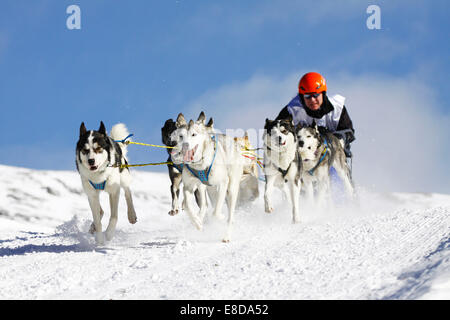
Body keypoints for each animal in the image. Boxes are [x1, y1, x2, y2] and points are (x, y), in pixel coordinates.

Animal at [177, 112, 246, 242]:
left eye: (193, 134)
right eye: (181, 136)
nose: (185, 145)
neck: (199, 164)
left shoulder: (223, 183)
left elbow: (216, 213)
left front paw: (220, 217)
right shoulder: (188, 186)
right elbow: (187, 206)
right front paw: (197, 222)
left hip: (231, 188)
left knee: (230, 215)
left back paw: (226, 235)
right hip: (206, 188)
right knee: (204, 204)